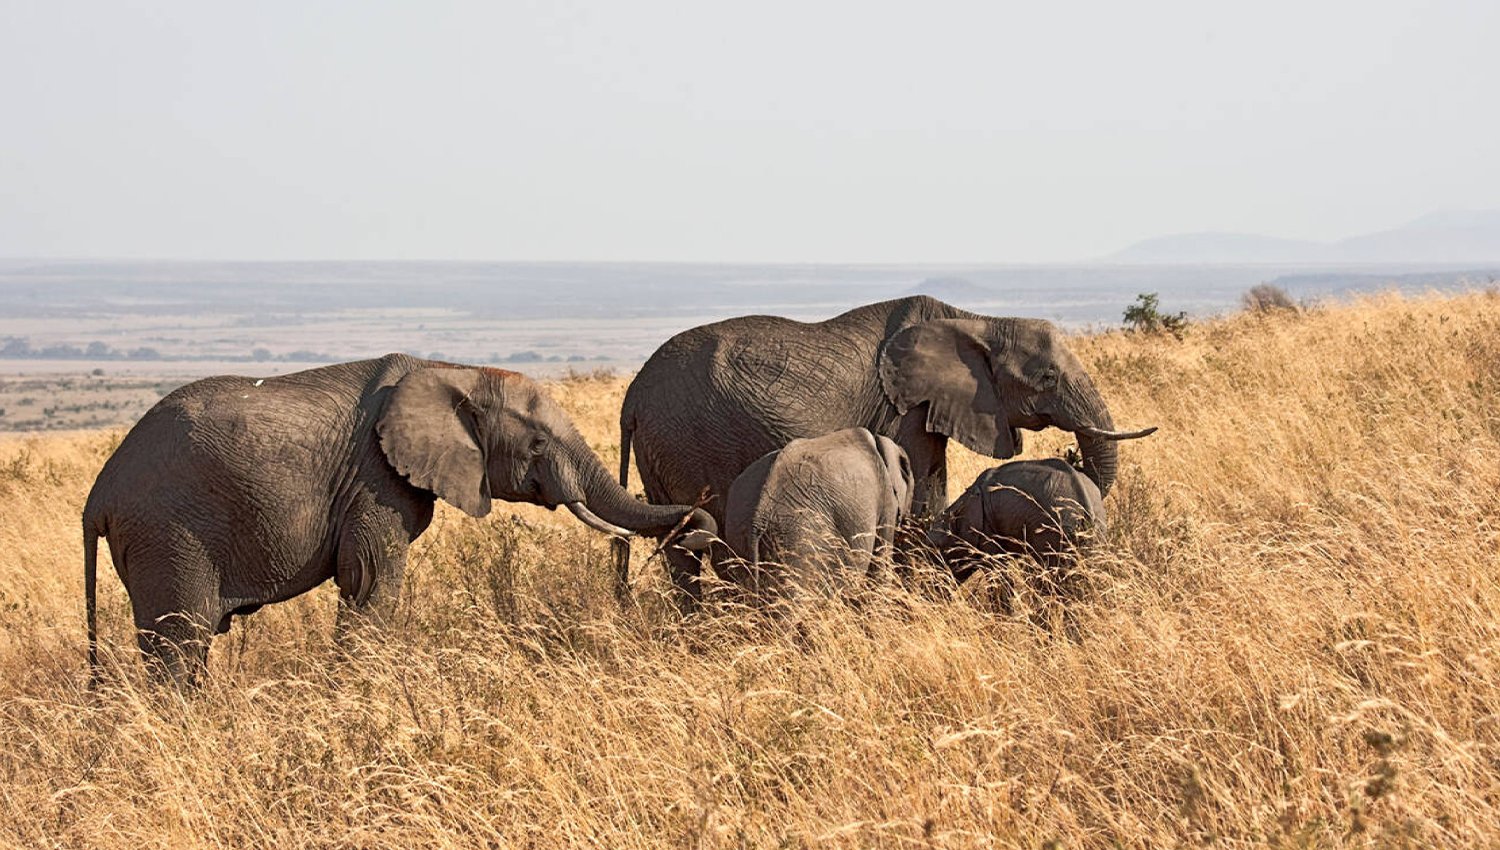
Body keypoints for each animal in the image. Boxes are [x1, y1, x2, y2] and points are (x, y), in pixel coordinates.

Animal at [82, 354, 715, 685]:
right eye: (536, 444)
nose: (704, 523)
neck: (451, 371)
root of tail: (98, 496)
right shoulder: (373, 482)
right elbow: (368, 581)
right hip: (168, 533)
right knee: (180, 642)